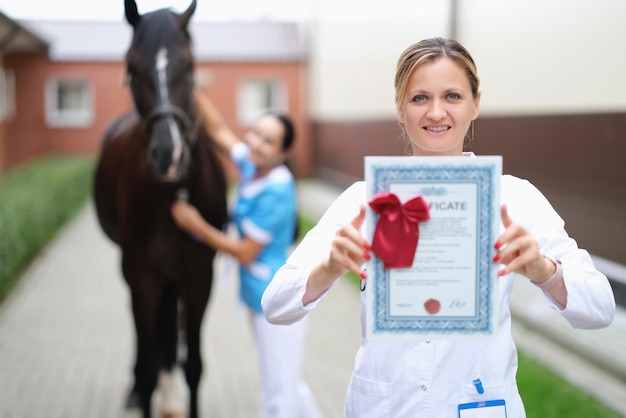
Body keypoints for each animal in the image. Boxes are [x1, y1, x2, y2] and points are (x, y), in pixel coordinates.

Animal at [92, 1, 227, 416]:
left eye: (190, 65)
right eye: (132, 68)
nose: (169, 156)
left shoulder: (199, 277)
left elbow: (194, 366)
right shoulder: (143, 275)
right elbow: (152, 361)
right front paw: (146, 387)